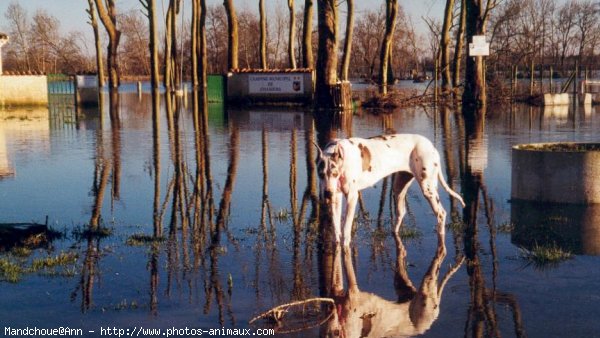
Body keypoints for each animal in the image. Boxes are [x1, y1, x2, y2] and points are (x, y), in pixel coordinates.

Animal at [316, 133, 466, 247]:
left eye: (334, 173)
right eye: (321, 174)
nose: (327, 193)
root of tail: (432, 146)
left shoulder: (352, 197)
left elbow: (346, 229)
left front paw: (345, 245)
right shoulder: (336, 198)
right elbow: (336, 227)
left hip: (428, 189)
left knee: (441, 213)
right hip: (398, 189)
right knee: (401, 213)